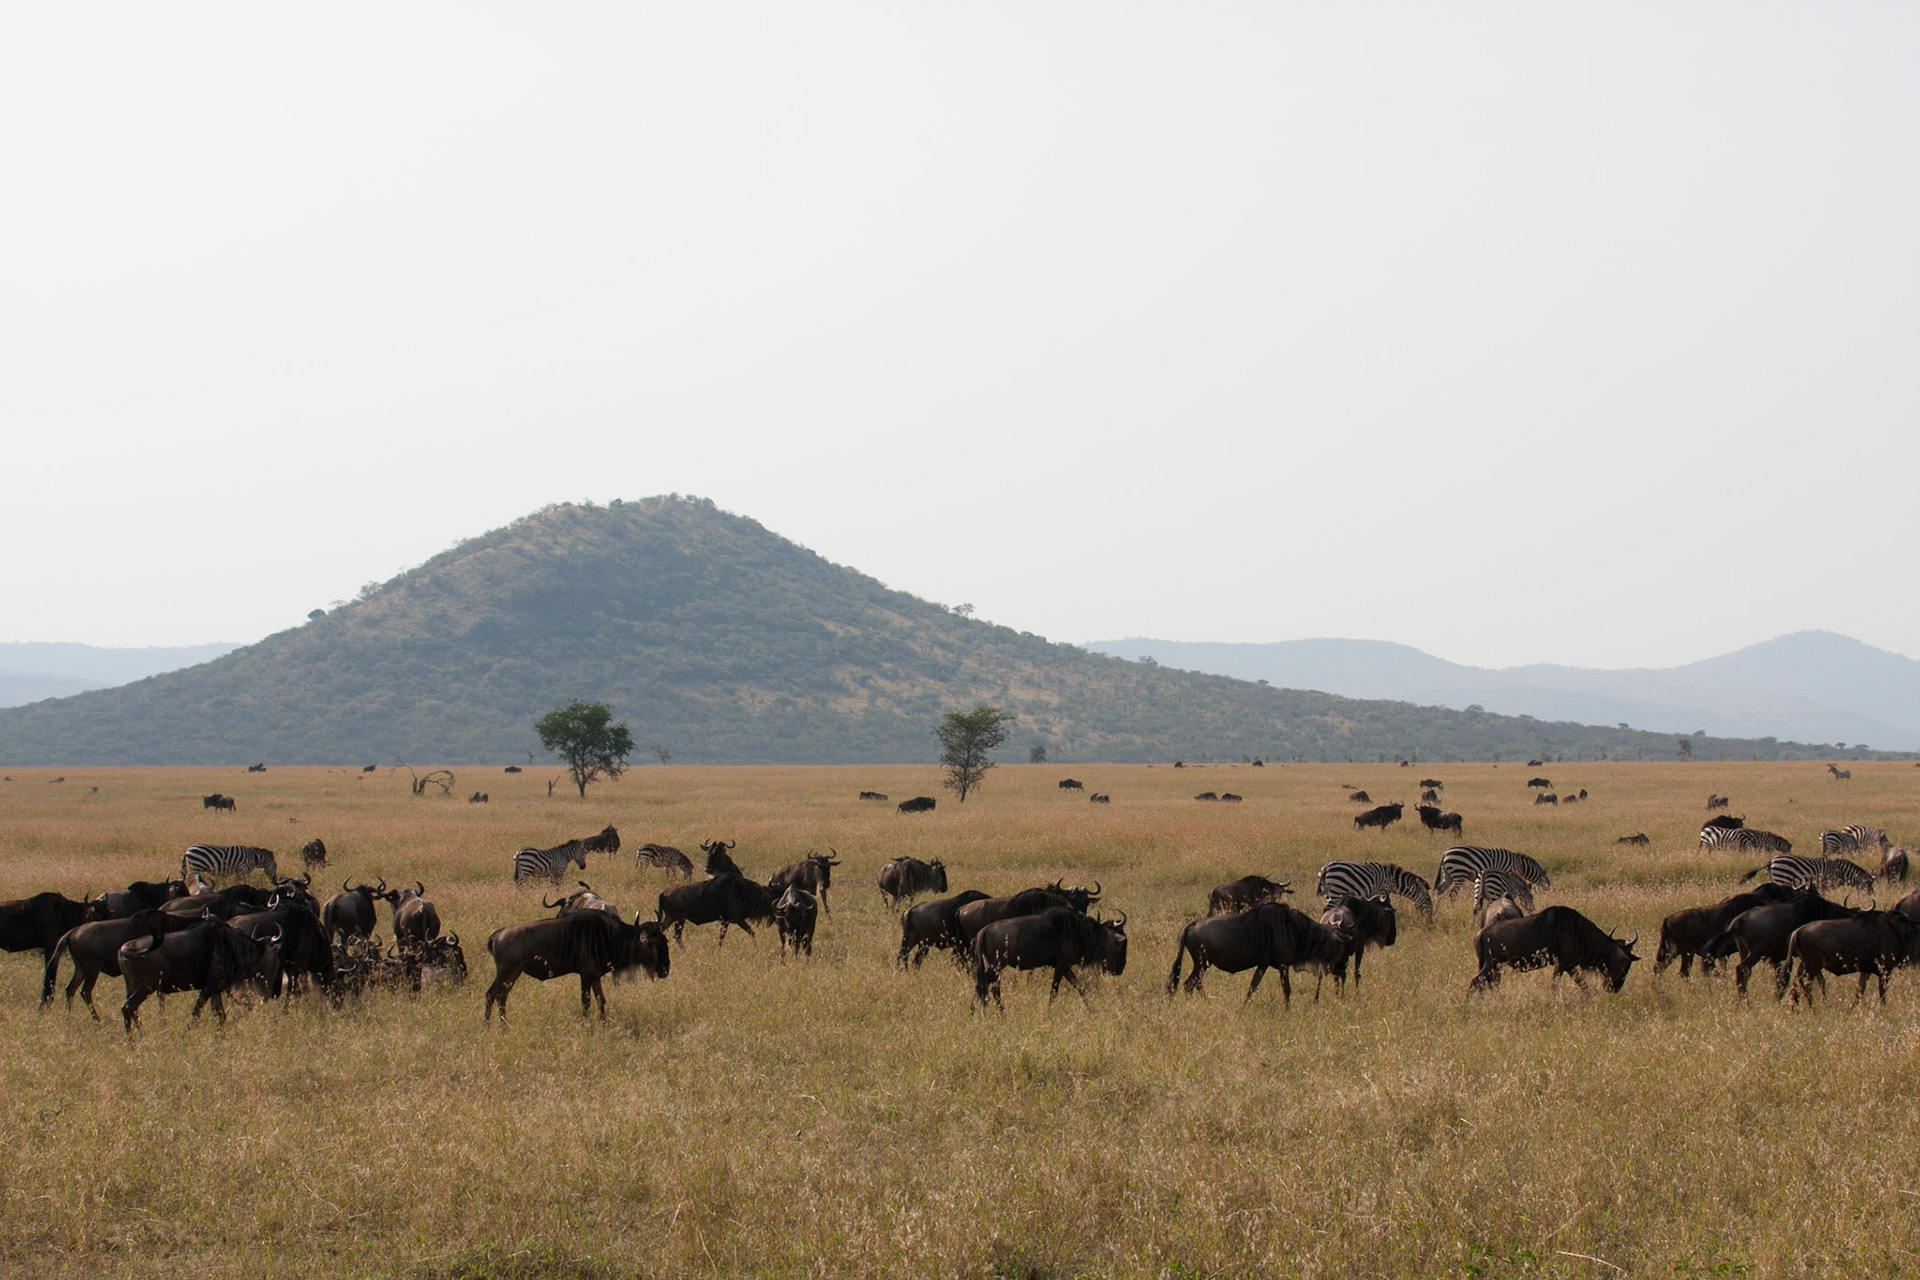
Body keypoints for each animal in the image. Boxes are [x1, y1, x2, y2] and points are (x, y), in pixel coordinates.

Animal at [1743, 855, 1875, 896]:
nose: (1872, 895)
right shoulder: (1828, 884)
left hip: (1773, 879)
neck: (1840, 872)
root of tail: (1771, 861)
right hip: (1781, 879)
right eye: (1868, 884)